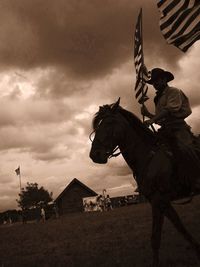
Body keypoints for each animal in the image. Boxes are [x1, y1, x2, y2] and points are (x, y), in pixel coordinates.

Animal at [89, 98, 200, 267]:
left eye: (108, 123)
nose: (94, 154)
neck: (149, 156)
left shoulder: (158, 200)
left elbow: (155, 239)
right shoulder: (162, 203)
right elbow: (180, 229)